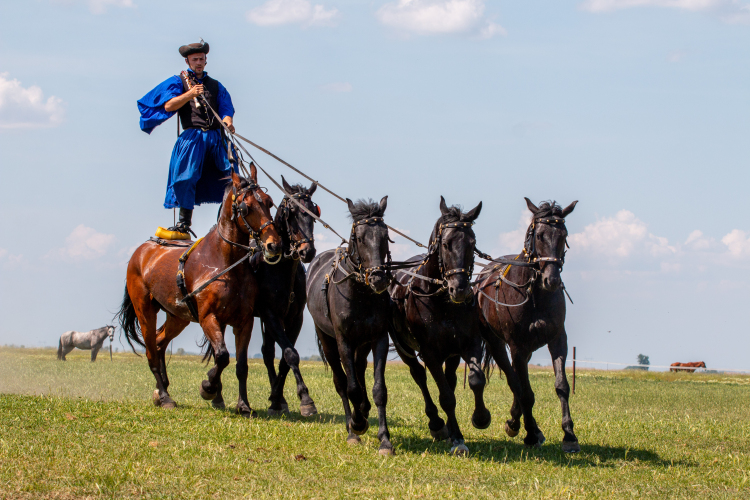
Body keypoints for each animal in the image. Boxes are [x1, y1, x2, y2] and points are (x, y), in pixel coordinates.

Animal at [117, 168, 282, 414]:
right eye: (246, 207)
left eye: (269, 202)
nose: (274, 244)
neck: (224, 262)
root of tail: (141, 251)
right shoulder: (208, 317)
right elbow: (222, 356)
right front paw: (208, 387)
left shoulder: (244, 322)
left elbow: (241, 366)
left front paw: (243, 405)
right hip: (145, 310)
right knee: (151, 352)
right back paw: (164, 396)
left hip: (178, 316)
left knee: (159, 342)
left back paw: (162, 387)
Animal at [204, 178, 322, 416]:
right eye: (291, 212)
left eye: (314, 213)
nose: (307, 252)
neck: (281, 269)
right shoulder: (270, 315)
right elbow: (290, 353)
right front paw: (305, 399)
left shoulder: (294, 318)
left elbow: (284, 357)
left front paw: (277, 398)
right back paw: (217, 395)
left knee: (267, 352)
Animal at [306, 197, 396, 456]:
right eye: (360, 238)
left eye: (385, 235)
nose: (378, 279)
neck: (360, 293)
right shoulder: (343, 340)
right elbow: (351, 387)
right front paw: (357, 424)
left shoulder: (378, 339)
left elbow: (379, 389)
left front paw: (385, 440)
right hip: (328, 340)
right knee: (341, 381)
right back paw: (352, 428)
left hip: (361, 344)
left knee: (359, 370)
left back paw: (363, 410)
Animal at [390, 197, 490, 456]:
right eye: (446, 244)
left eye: (472, 243)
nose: (460, 290)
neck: (441, 301)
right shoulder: (430, 353)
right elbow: (446, 397)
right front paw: (457, 439)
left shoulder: (469, 343)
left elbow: (475, 380)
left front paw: (480, 418)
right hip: (404, 347)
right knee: (419, 376)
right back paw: (437, 424)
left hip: (451, 354)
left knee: (451, 379)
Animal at [476, 198, 580, 454]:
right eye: (540, 235)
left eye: (563, 235)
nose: (552, 280)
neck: (535, 294)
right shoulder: (517, 346)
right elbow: (526, 393)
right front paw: (531, 433)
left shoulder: (557, 340)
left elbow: (562, 386)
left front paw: (569, 435)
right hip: (496, 343)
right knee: (514, 379)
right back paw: (518, 424)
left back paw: (516, 419)